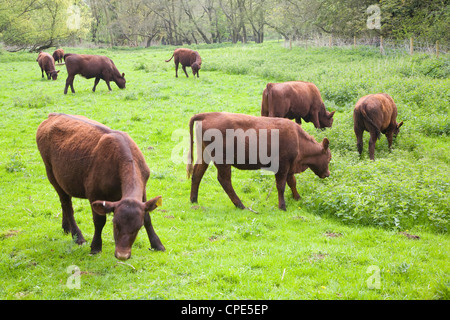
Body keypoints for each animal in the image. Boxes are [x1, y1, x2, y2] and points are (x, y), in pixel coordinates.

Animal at [35, 113, 165, 260]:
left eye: (138, 227)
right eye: (115, 224)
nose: (122, 255)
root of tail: (54, 115)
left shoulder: (143, 190)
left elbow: (148, 217)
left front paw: (157, 244)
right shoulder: (94, 193)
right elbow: (99, 221)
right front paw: (96, 247)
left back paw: (66, 227)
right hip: (51, 173)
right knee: (67, 204)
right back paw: (78, 236)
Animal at [186, 111, 330, 211]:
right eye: (329, 158)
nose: (328, 174)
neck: (298, 138)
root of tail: (208, 115)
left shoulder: (289, 167)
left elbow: (292, 182)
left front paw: (298, 198)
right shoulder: (282, 166)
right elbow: (281, 186)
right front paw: (282, 206)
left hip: (204, 155)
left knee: (197, 174)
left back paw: (194, 200)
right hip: (223, 161)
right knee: (224, 180)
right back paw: (240, 205)